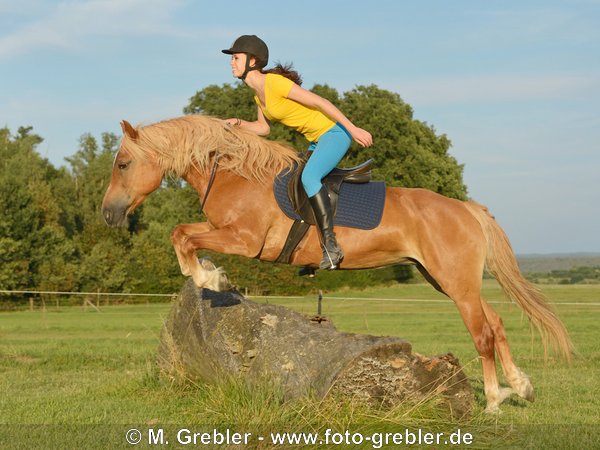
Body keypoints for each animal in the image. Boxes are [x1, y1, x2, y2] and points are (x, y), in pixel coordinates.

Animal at [102, 114, 572, 414]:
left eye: (123, 163)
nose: (108, 214)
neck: (238, 174)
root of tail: (466, 208)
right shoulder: (223, 230)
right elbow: (181, 232)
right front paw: (210, 275)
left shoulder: (244, 240)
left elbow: (182, 236)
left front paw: (208, 277)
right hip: (448, 281)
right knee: (496, 323)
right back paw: (521, 387)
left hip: (456, 284)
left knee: (482, 333)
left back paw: (493, 401)